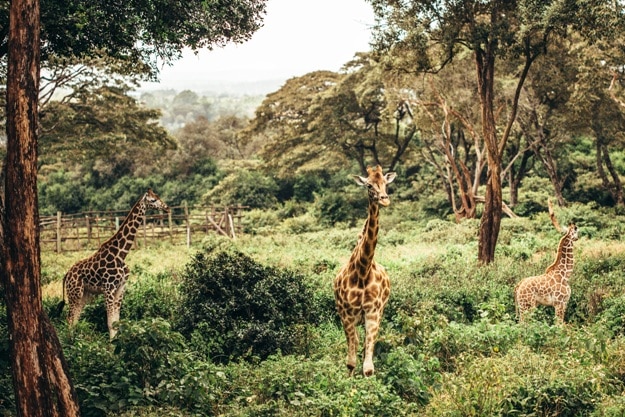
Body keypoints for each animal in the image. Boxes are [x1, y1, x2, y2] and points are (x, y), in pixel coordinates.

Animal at [61, 188, 169, 338]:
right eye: (153, 200)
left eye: (158, 196)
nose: (167, 207)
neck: (121, 254)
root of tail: (66, 274)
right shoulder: (109, 288)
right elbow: (110, 322)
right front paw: (111, 344)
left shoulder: (121, 288)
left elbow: (116, 322)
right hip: (74, 293)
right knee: (70, 318)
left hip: (84, 295)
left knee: (75, 317)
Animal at [332, 164, 394, 376]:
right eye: (369, 185)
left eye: (385, 183)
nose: (384, 199)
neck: (363, 270)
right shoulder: (347, 314)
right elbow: (351, 363)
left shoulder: (373, 313)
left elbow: (368, 368)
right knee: (355, 343)